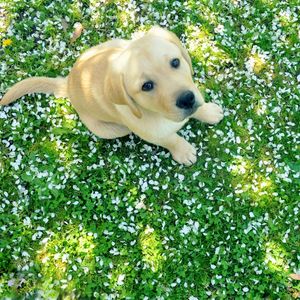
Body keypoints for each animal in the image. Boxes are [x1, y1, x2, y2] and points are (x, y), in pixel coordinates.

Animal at [0, 26, 223, 165]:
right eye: (147, 86)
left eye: (175, 62)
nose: (186, 99)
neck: (157, 113)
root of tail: (68, 82)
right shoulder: (152, 134)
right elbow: (171, 139)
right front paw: (183, 152)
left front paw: (208, 112)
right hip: (112, 129)